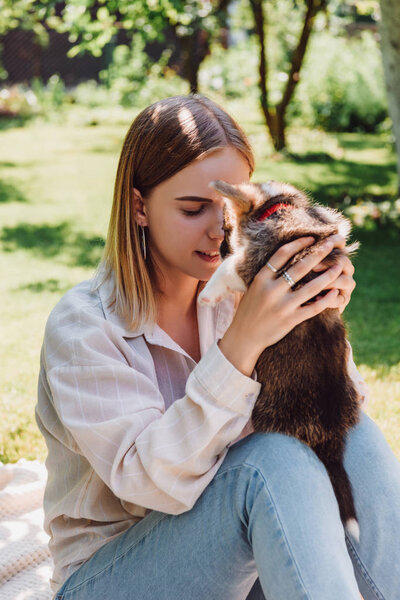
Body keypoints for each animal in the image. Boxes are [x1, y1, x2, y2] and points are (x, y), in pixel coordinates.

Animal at [198, 180, 360, 540]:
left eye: (226, 228)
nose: (219, 246)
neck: (280, 208)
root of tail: (330, 436)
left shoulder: (252, 265)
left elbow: (230, 268)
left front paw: (208, 293)